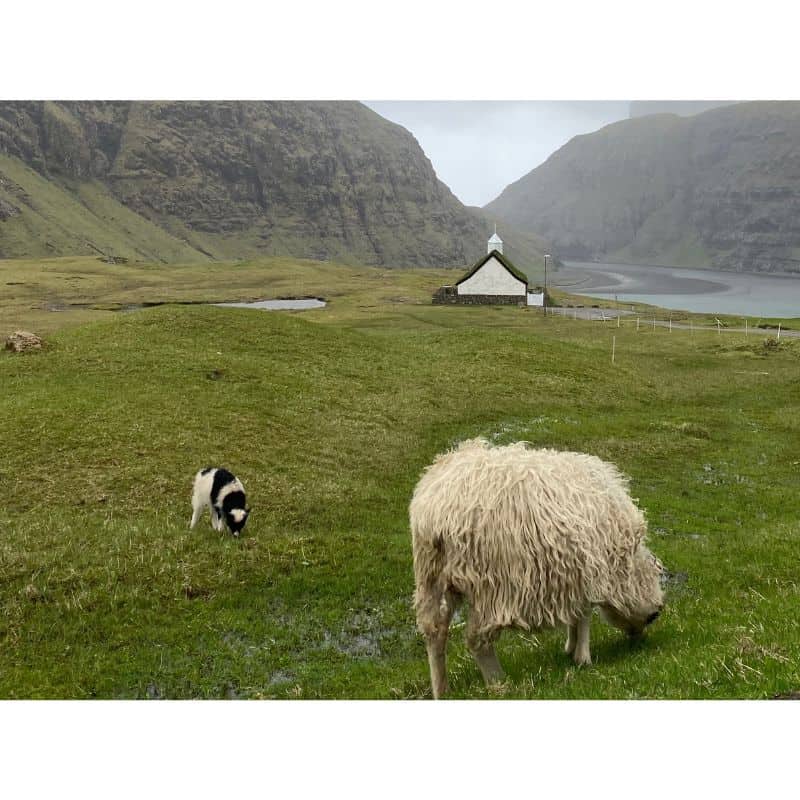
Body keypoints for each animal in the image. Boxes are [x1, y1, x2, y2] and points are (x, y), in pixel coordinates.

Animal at [410, 438, 664, 698]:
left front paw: (570, 649)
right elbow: (584, 616)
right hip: (489, 585)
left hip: (431, 575)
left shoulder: (574, 570)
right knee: (476, 638)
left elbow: (576, 615)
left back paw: (441, 690)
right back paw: (499, 683)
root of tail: (435, 512)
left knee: (434, 630)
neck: (622, 562)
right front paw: (583, 658)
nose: (638, 640)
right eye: (653, 616)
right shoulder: (588, 570)